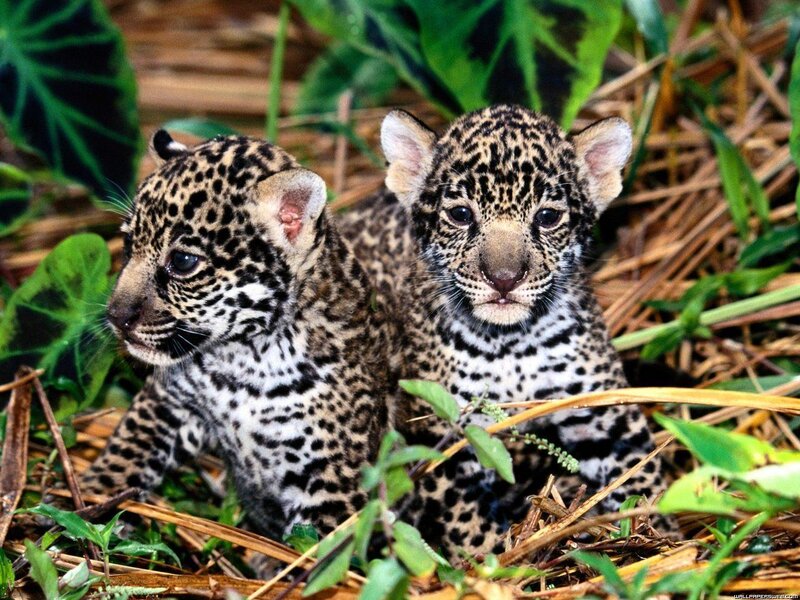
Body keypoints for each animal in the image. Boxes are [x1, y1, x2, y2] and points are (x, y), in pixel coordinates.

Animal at [81, 131, 395, 542]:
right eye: (129, 244)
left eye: (182, 262)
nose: (115, 317)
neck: (242, 362)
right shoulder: (166, 400)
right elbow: (127, 447)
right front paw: (87, 501)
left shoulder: (330, 484)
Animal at [338, 104, 671, 555]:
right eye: (461, 215)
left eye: (547, 217)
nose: (504, 279)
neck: (512, 345)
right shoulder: (446, 435)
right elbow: (470, 527)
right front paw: (496, 561)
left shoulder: (604, 413)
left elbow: (640, 475)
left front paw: (665, 537)